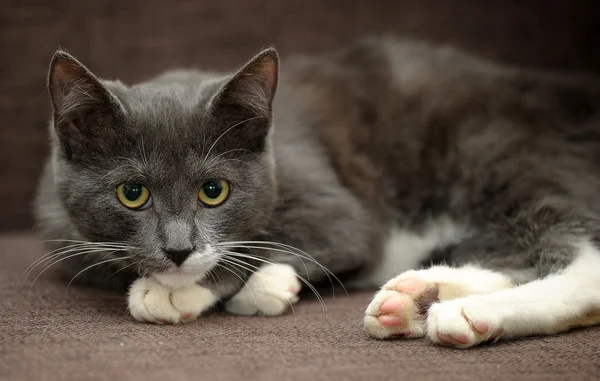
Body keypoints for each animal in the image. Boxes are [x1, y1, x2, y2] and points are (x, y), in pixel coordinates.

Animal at [34, 36, 600, 348]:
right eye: (133, 193)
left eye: (214, 191)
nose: (178, 251)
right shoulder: (60, 227)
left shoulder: (333, 200)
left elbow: (317, 237)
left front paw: (207, 287)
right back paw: (414, 297)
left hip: (499, 151)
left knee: (579, 256)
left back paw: (469, 314)